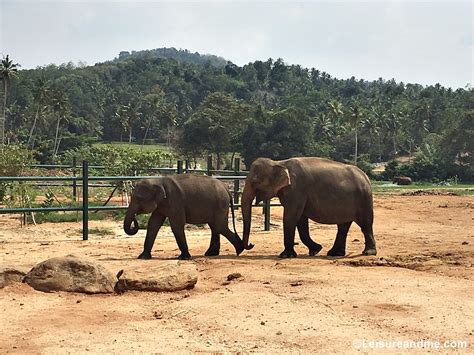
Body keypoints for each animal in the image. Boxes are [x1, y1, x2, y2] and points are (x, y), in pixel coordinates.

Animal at [243, 159, 376, 258]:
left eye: (254, 182)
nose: (251, 244)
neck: (280, 162)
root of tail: (366, 177)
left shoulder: (296, 190)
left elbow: (291, 217)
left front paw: (285, 255)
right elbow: (301, 220)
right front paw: (316, 250)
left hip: (364, 198)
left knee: (365, 224)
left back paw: (368, 253)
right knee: (343, 226)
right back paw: (335, 253)